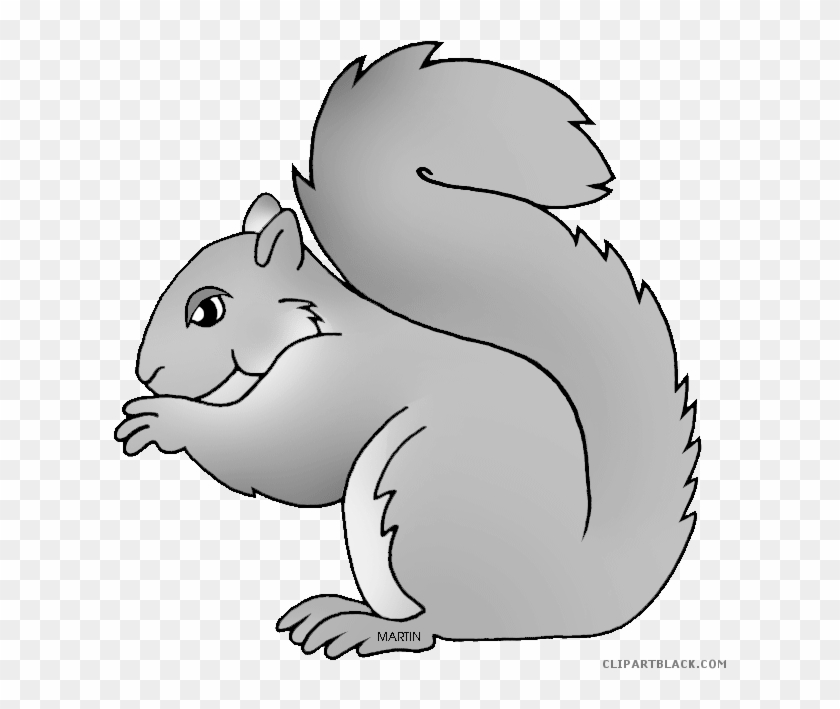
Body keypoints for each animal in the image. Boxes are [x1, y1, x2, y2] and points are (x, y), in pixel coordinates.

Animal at [115, 42, 699, 658]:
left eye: (207, 310)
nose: (148, 372)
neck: (308, 325)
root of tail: (568, 601)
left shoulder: (333, 382)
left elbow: (275, 452)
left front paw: (165, 419)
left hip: (415, 501)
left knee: (435, 626)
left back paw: (358, 625)